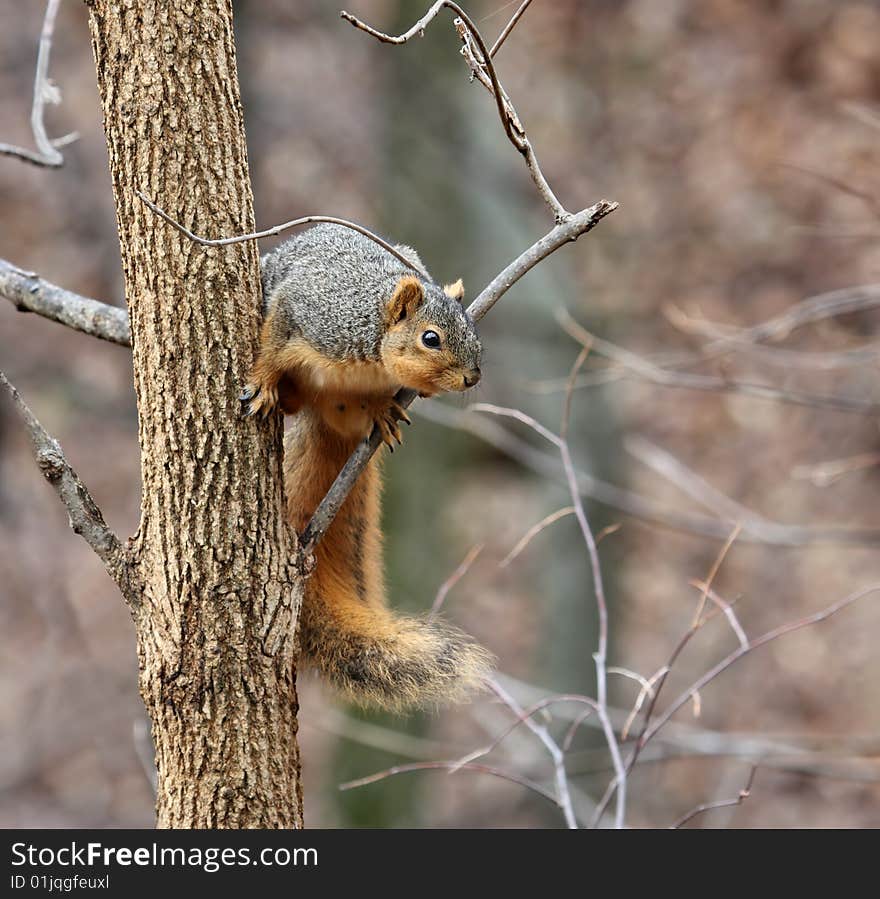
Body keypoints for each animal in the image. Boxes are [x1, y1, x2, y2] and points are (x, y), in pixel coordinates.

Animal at [241, 223, 496, 712]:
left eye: (474, 332)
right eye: (430, 338)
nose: (473, 377)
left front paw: (384, 408)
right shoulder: (309, 312)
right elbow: (273, 342)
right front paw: (262, 381)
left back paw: (378, 415)